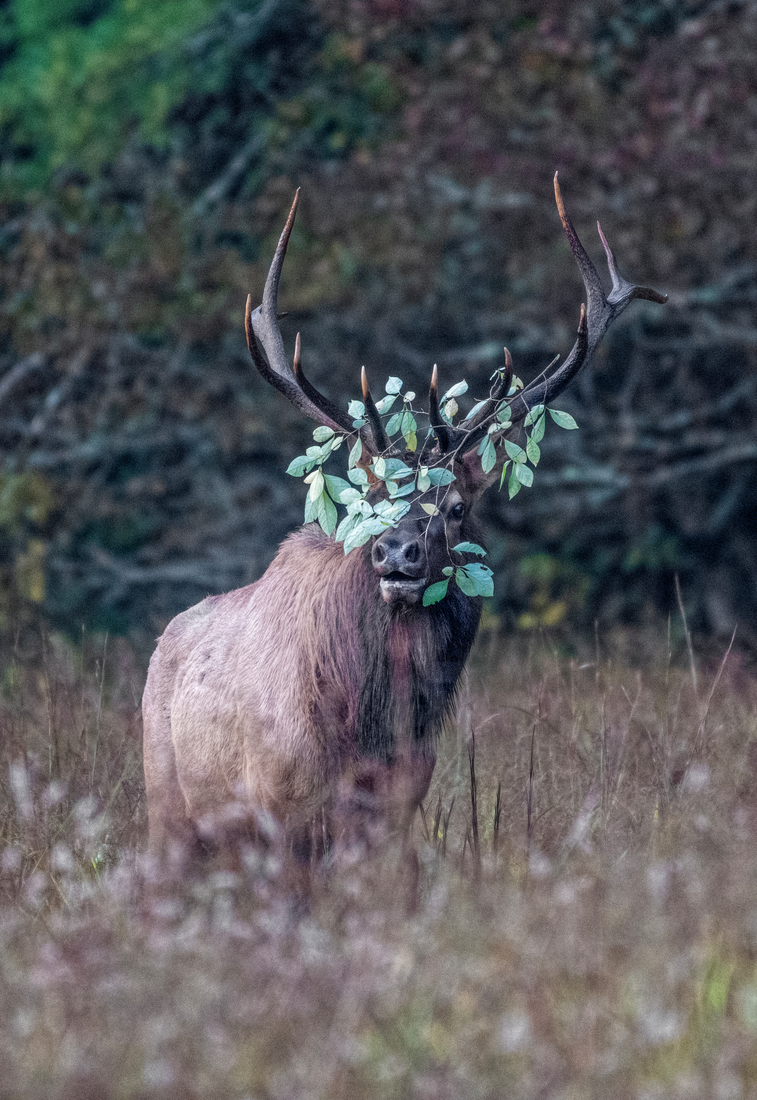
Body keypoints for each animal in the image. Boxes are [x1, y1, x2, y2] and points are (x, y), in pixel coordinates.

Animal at [140, 176, 660, 862]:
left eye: (459, 508)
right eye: (369, 500)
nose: (396, 554)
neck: (365, 724)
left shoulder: (395, 812)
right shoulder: (278, 809)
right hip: (168, 804)